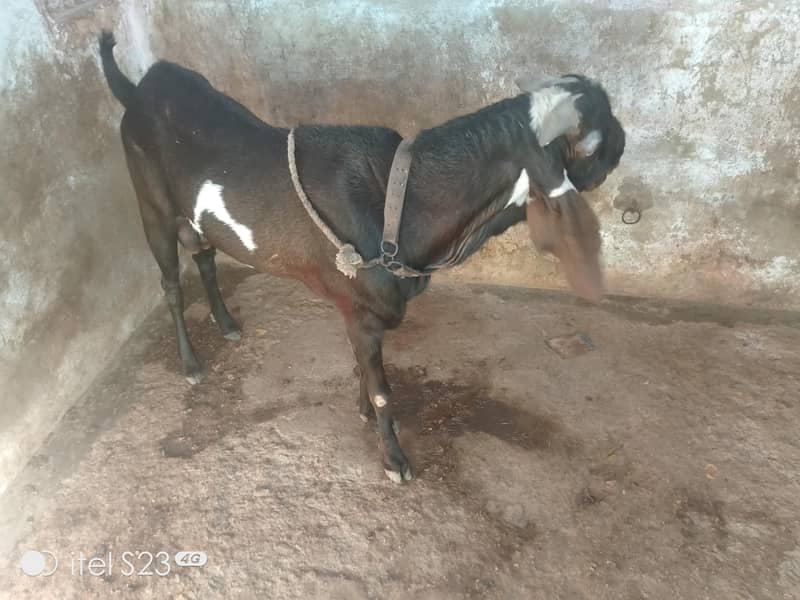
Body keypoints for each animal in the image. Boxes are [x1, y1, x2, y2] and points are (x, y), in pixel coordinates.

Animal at [99, 31, 625, 482]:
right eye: (594, 139)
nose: (622, 144)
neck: (400, 199)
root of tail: (141, 88)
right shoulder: (364, 311)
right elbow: (382, 389)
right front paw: (393, 458)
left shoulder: (359, 313)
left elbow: (362, 367)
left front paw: (362, 411)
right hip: (153, 209)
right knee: (171, 284)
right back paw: (190, 364)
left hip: (196, 220)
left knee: (206, 258)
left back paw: (227, 323)